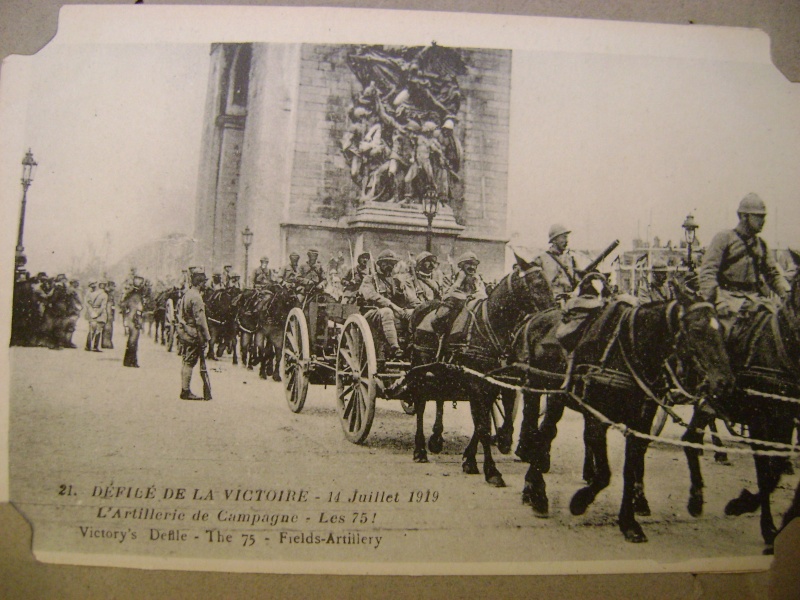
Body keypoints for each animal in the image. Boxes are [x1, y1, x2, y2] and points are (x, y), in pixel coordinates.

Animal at [400, 255, 556, 486]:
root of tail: (423, 310)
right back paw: (420, 450)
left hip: (442, 373)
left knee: (439, 398)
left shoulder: (501, 384)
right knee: (420, 405)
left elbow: (496, 422)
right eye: (536, 283)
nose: (554, 318)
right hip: (421, 372)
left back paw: (436, 438)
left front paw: (473, 458)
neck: (493, 328)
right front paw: (491, 471)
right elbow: (482, 426)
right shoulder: (476, 385)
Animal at [516, 282, 736, 544]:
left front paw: (629, 522)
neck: (628, 352)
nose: (725, 383)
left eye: (722, 330)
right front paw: (580, 501)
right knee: (537, 431)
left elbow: (630, 468)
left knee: (545, 432)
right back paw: (535, 493)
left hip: (558, 396)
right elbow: (604, 474)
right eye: (697, 330)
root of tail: (536, 317)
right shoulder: (596, 418)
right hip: (535, 388)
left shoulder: (640, 424)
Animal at [688, 250, 800, 552]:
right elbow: (765, 472)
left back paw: (696, 497)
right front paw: (749, 512)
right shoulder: (761, 422)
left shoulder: (785, 422)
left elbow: (776, 470)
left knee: (690, 439)